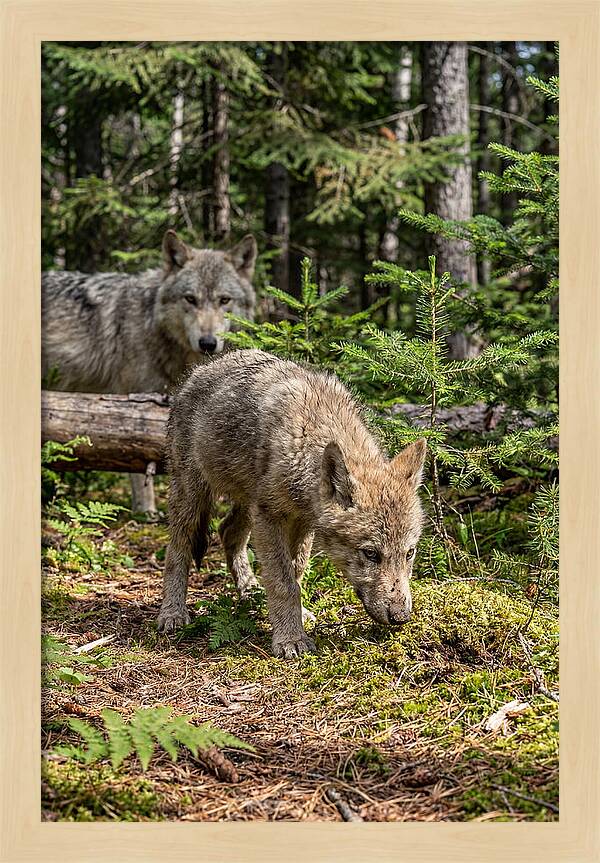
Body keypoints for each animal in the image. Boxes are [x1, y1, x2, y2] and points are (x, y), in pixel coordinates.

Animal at [42, 230, 257, 514]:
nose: (208, 343)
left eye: (224, 300)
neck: (153, 325)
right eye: (190, 299)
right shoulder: (135, 403)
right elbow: (139, 466)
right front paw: (146, 512)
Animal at [158, 349, 427, 658]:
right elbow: (283, 581)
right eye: (371, 554)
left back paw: (250, 591)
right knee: (178, 549)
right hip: (193, 496)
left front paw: (296, 618)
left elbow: (296, 573)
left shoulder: (302, 522)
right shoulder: (270, 517)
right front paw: (290, 639)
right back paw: (172, 613)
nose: (401, 617)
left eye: (409, 553)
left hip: (247, 504)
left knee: (227, 531)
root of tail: (199, 370)